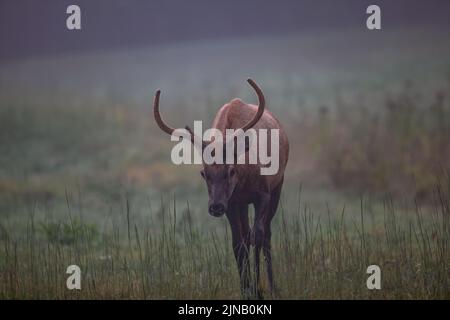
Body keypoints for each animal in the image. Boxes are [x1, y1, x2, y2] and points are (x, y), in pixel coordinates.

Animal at [153, 79, 290, 298]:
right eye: (203, 173)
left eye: (231, 170)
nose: (215, 206)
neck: (244, 176)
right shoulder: (232, 203)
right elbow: (238, 243)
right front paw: (247, 290)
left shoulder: (263, 195)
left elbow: (258, 236)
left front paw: (259, 290)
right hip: (242, 204)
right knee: (246, 235)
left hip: (278, 186)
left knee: (266, 234)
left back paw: (272, 286)